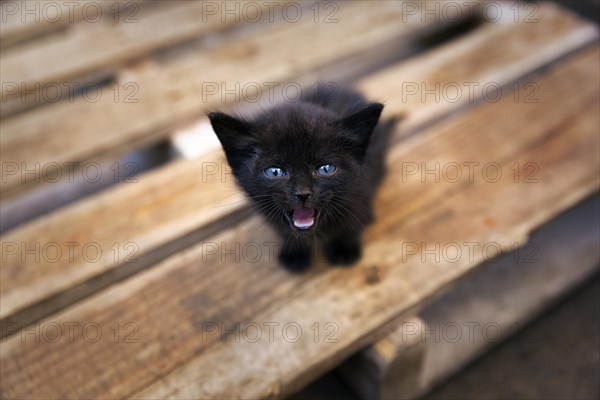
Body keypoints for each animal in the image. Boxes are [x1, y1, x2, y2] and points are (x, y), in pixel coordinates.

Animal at [209, 85, 392, 272]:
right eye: (275, 172)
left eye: (325, 169)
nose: (302, 193)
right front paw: (295, 251)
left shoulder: (361, 186)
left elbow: (352, 218)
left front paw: (345, 247)